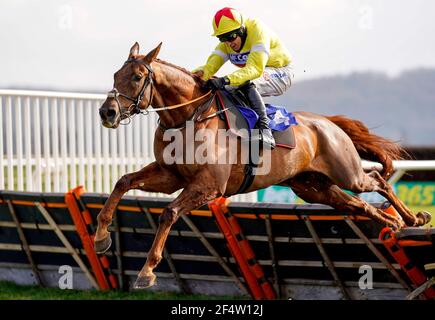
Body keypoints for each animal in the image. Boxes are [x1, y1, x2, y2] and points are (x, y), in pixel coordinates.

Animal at [95, 41, 432, 288]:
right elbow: (123, 181)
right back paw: (395, 225)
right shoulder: (171, 176)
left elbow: (169, 213)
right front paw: (101, 238)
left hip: (347, 174)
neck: (189, 116)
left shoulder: (208, 186)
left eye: (137, 77)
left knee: (378, 180)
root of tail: (328, 122)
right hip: (314, 188)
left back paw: (414, 218)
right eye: (114, 76)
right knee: (360, 205)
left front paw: (147, 271)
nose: (107, 112)